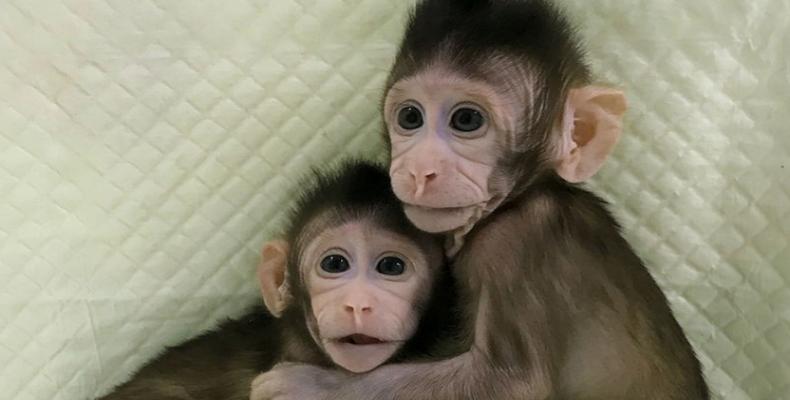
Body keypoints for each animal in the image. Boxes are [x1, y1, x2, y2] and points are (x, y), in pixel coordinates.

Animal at [254, 0, 712, 400]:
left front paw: (306, 387)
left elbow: (507, 381)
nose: (419, 170)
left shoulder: (515, 242)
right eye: (410, 117)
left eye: (467, 120)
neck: (519, 199)